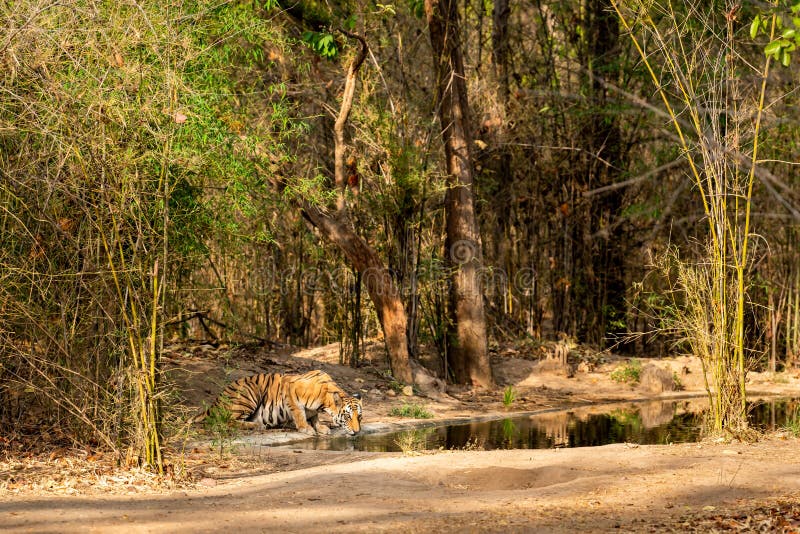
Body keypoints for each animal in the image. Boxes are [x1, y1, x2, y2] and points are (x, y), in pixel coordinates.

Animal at [192, 370, 360, 438]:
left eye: (359, 417)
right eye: (347, 417)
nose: (357, 432)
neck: (325, 401)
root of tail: (216, 401)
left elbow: (314, 416)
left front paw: (321, 427)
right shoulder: (291, 391)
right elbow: (300, 414)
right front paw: (306, 429)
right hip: (249, 391)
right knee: (226, 421)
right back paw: (257, 425)